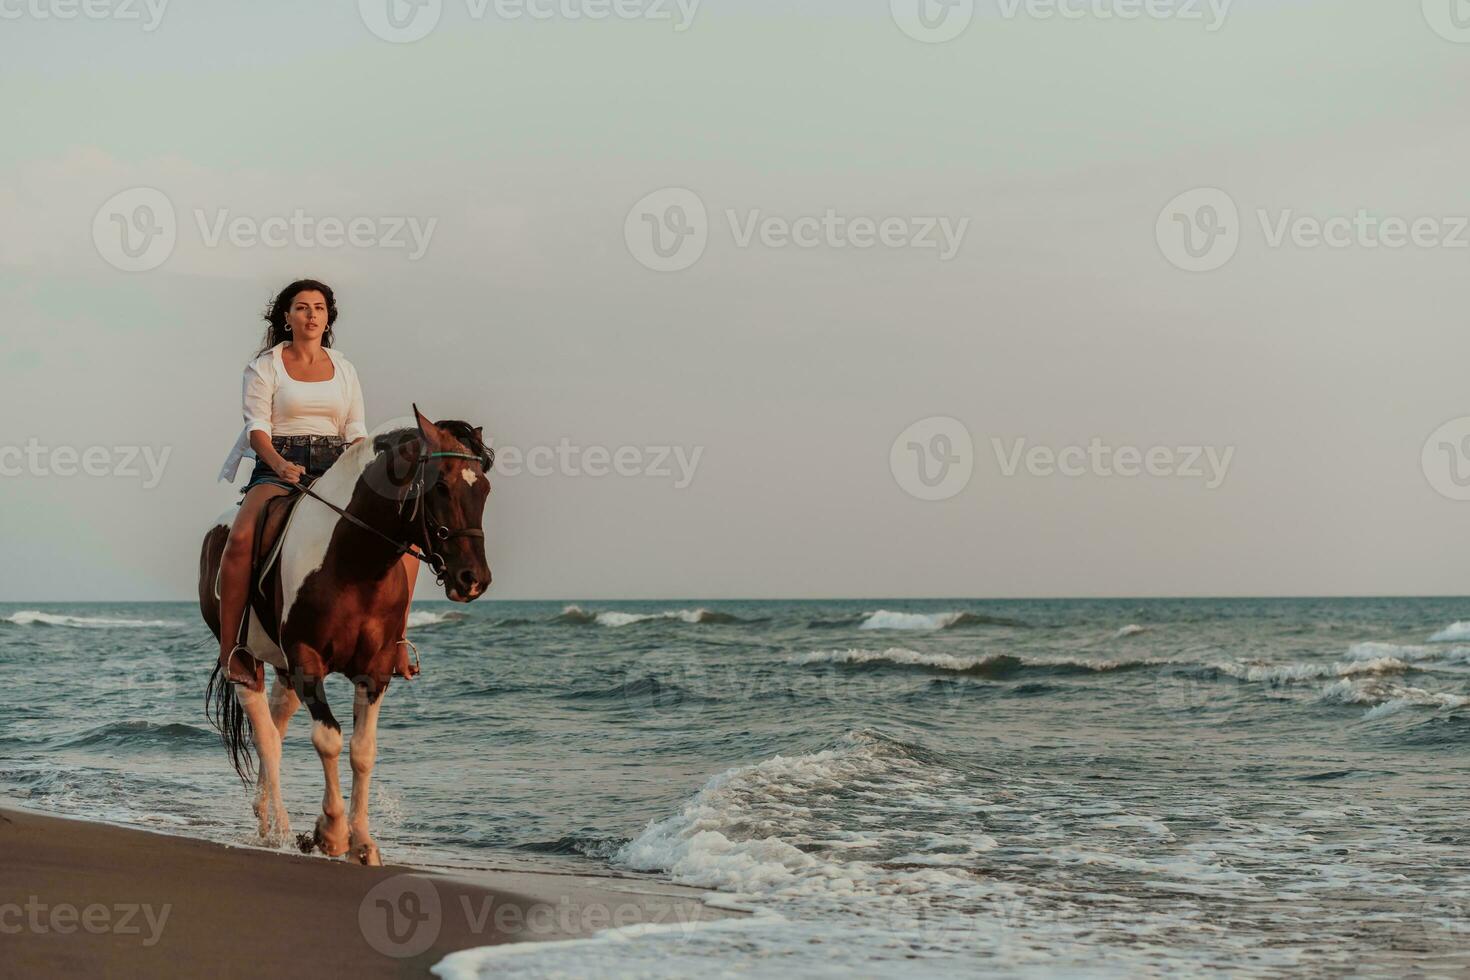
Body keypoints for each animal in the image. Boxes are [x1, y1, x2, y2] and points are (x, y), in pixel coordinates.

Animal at [195, 405, 496, 863]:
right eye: (441, 486)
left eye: (485, 489)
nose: (473, 580)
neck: (354, 563)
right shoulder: (307, 661)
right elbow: (329, 739)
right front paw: (332, 832)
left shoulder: (375, 670)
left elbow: (362, 751)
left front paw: (363, 843)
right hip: (247, 662)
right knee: (267, 736)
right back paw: (280, 830)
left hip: (284, 670)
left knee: (277, 725)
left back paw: (267, 818)